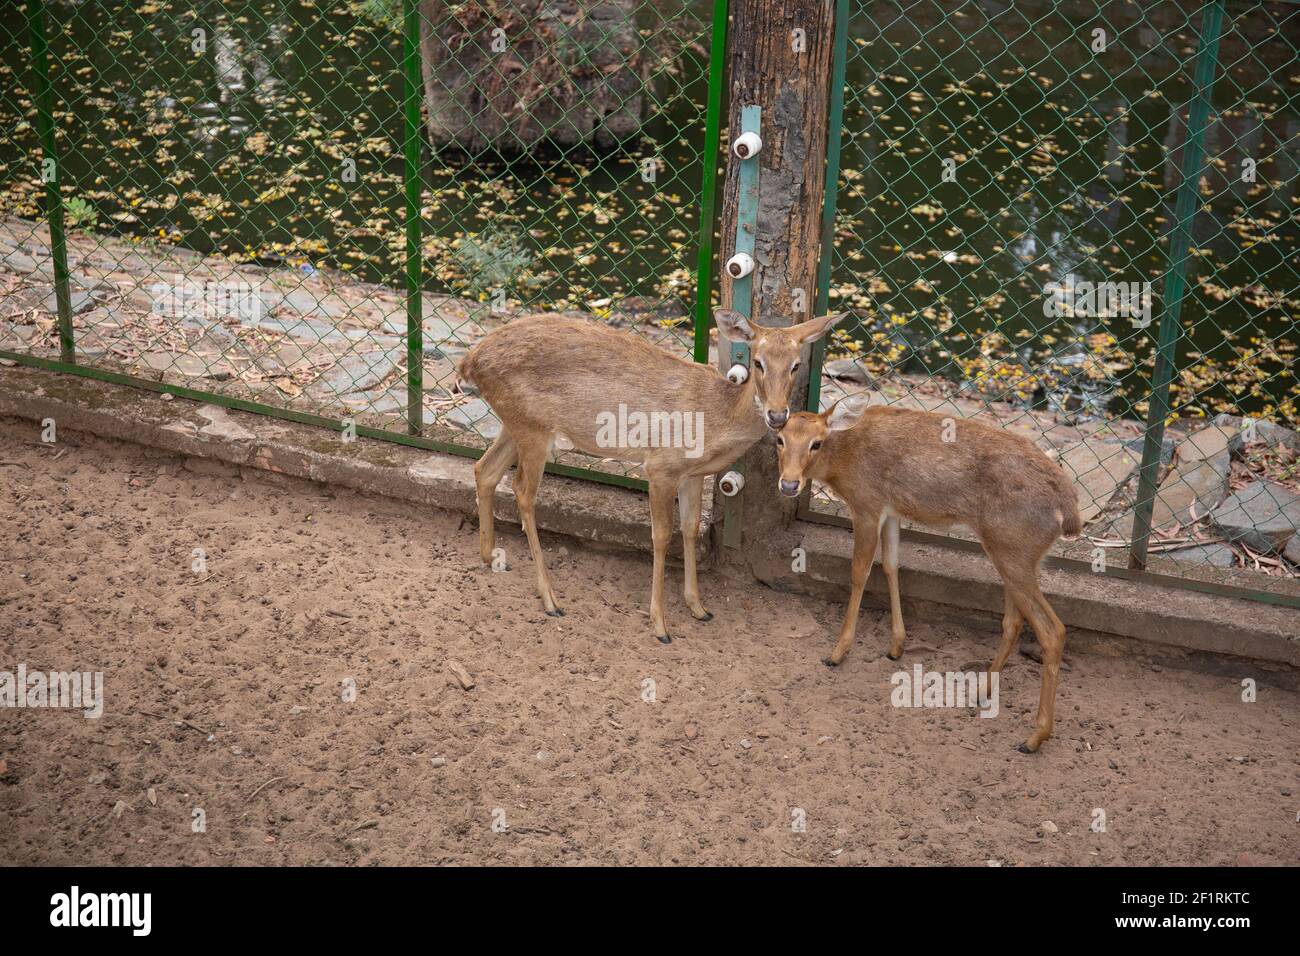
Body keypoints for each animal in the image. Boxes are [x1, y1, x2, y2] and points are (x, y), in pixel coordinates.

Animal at [457, 308, 846, 643]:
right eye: (757, 362)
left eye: (797, 364)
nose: (777, 415)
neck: (715, 420)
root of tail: (469, 361)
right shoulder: (660, 467)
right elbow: (661, 536)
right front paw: (660, 625)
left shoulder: (693, 474)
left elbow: (690, 528)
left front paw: (699, 607)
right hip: (533, 428)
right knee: (522, 489)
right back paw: (550, 599)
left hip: (517, 422)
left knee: (484, 469)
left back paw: (490, 556)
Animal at [773, 398, 1082, 753]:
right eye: (780, 439)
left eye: (816, 443)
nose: (788, 484)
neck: (842, 460)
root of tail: (1069, 512)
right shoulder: (891, 510)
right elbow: (891, 564)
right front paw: (896, 646)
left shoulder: (867, 505)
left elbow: (860, 571)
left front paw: (838, 652)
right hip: (1019, 556)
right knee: (1014, 621)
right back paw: (981, 691)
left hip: (1013, 550)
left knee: (1053, 630)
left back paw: (1033, 738)